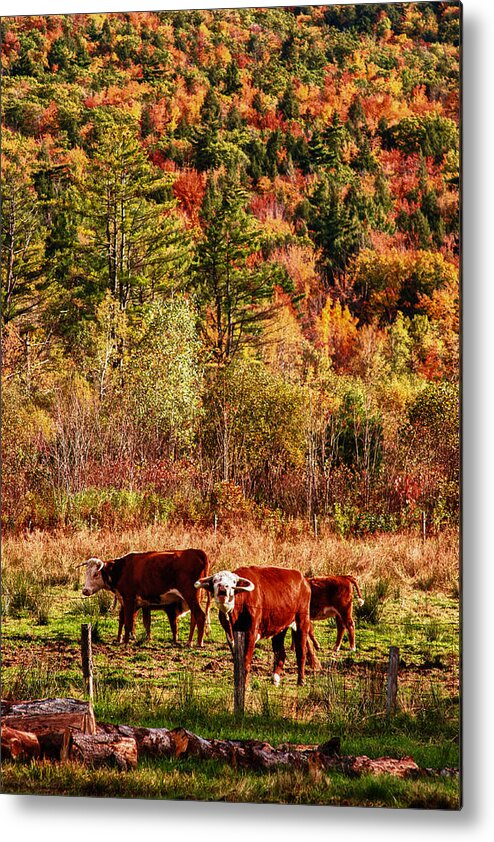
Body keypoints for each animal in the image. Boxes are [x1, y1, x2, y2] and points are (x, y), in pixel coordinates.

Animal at [77, 548, 210, 648]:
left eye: (95, 574)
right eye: (86, 573)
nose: (85, 590)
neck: (121, 569)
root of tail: (196, 551)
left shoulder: (129, 599)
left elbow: (128, 621)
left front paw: (125, 642)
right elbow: (127, 620)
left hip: (190, 595)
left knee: (200, 616)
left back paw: (199, 643)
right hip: (194, 598)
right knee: (194, 617)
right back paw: (189, 642)